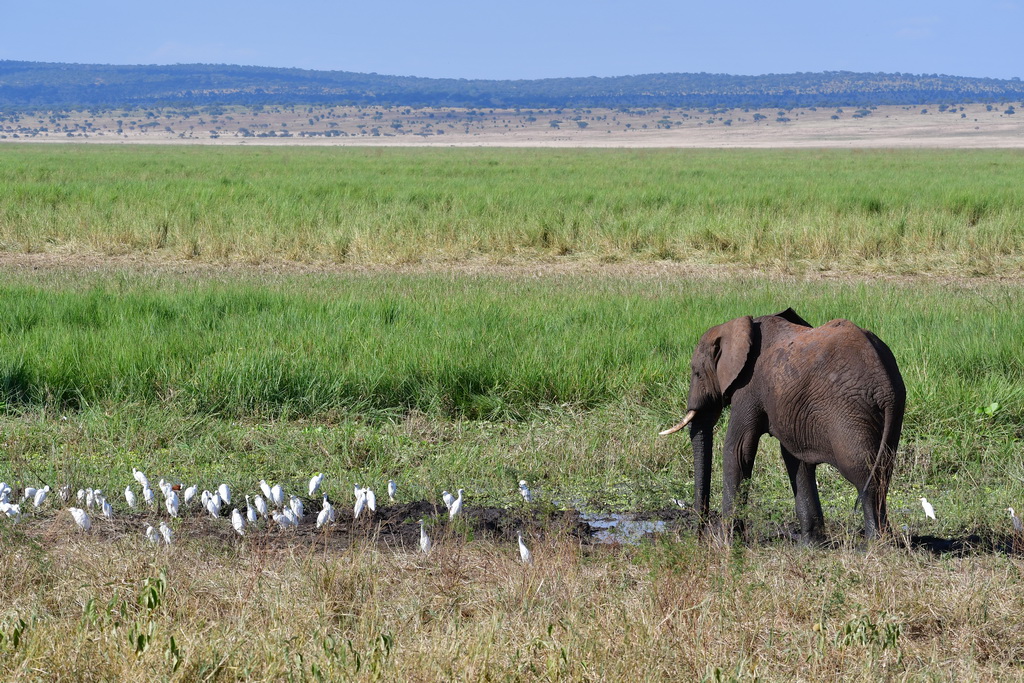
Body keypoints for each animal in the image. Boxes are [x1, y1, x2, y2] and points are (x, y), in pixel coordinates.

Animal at [655, 311, 905, 544]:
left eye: (697, 373)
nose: (698, 536)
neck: (740, 327)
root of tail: (885, 386)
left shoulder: (748, 387)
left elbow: (738, 450)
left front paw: (727, 542)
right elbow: (796, 458)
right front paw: (810, 546)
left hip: (849, 411)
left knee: (862, 473)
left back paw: (874, 545)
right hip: (891, 411)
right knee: (883, 470)